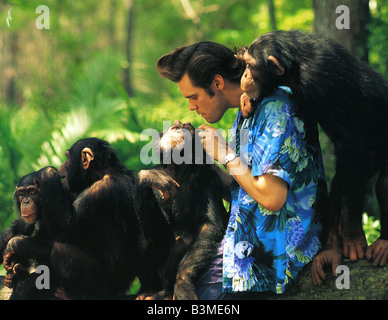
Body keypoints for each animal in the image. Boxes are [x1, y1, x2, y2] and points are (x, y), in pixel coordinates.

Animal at [50, 138, 140, 300]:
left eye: (67, 158)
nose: (61, 165)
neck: (101, 173)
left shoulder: (99, 191)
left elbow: (67, 225)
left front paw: (46, 176)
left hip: (102, 285)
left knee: (59, 249)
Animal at [136, 120, 227, 300]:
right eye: (176, 127)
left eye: (187, 128)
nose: (180, 124)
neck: (178, 168)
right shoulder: (159, 179)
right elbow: (154, 232)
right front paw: (148, 177)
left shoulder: (208, 178)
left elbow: (210, 224)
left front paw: (183, 282)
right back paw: (147, 290)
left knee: (184, 239)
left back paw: (165, 292)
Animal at [239, 28, 388, 282]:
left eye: (250, 64)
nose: (245, 74)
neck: (296, 66)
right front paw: (248, 102)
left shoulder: (319, 79)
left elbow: (349, 142)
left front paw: (352, 234)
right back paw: (332, 250)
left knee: (378, 182)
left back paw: (381, 243)